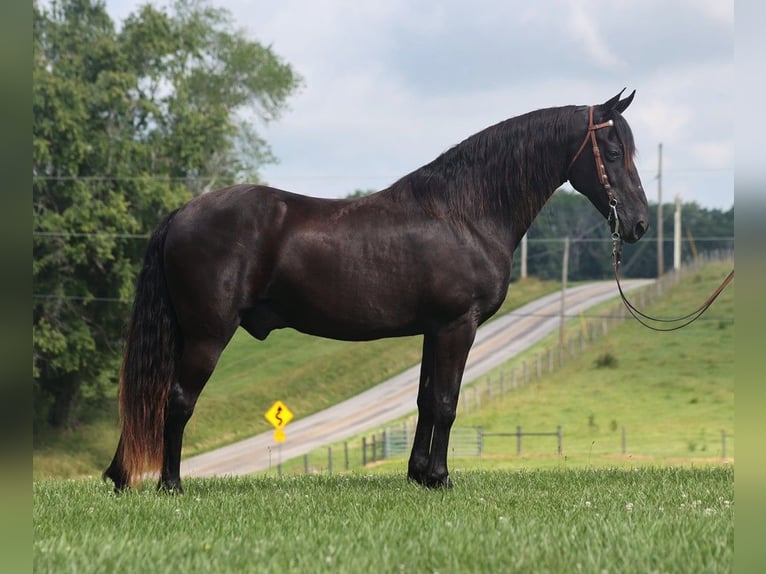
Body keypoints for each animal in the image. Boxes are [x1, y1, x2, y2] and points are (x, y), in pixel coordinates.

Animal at [103, 89, 649, 492]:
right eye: (614, 152)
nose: (640, 223)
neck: (463, 213)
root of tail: (183, 212)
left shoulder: (435, 330)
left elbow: (425, 399)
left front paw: (419, 476)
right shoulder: (458, 326)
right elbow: (447, 401)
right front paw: (442, 479)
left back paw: (122, 476)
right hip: (206, 335)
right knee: (176, 400)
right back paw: (170, 485)